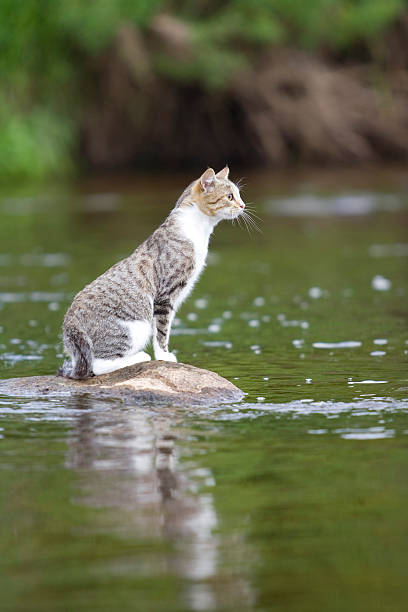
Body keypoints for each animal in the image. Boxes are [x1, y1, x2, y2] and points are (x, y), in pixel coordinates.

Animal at [58, 166, 245, 378]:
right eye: (230, 196)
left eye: (238, 195)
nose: (243, 205)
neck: (196, 227)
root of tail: (70, 328)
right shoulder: (165, 296)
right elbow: (162, 331)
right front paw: (163, 356)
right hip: (135, 328)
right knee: (97, 365)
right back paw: (139, 356)